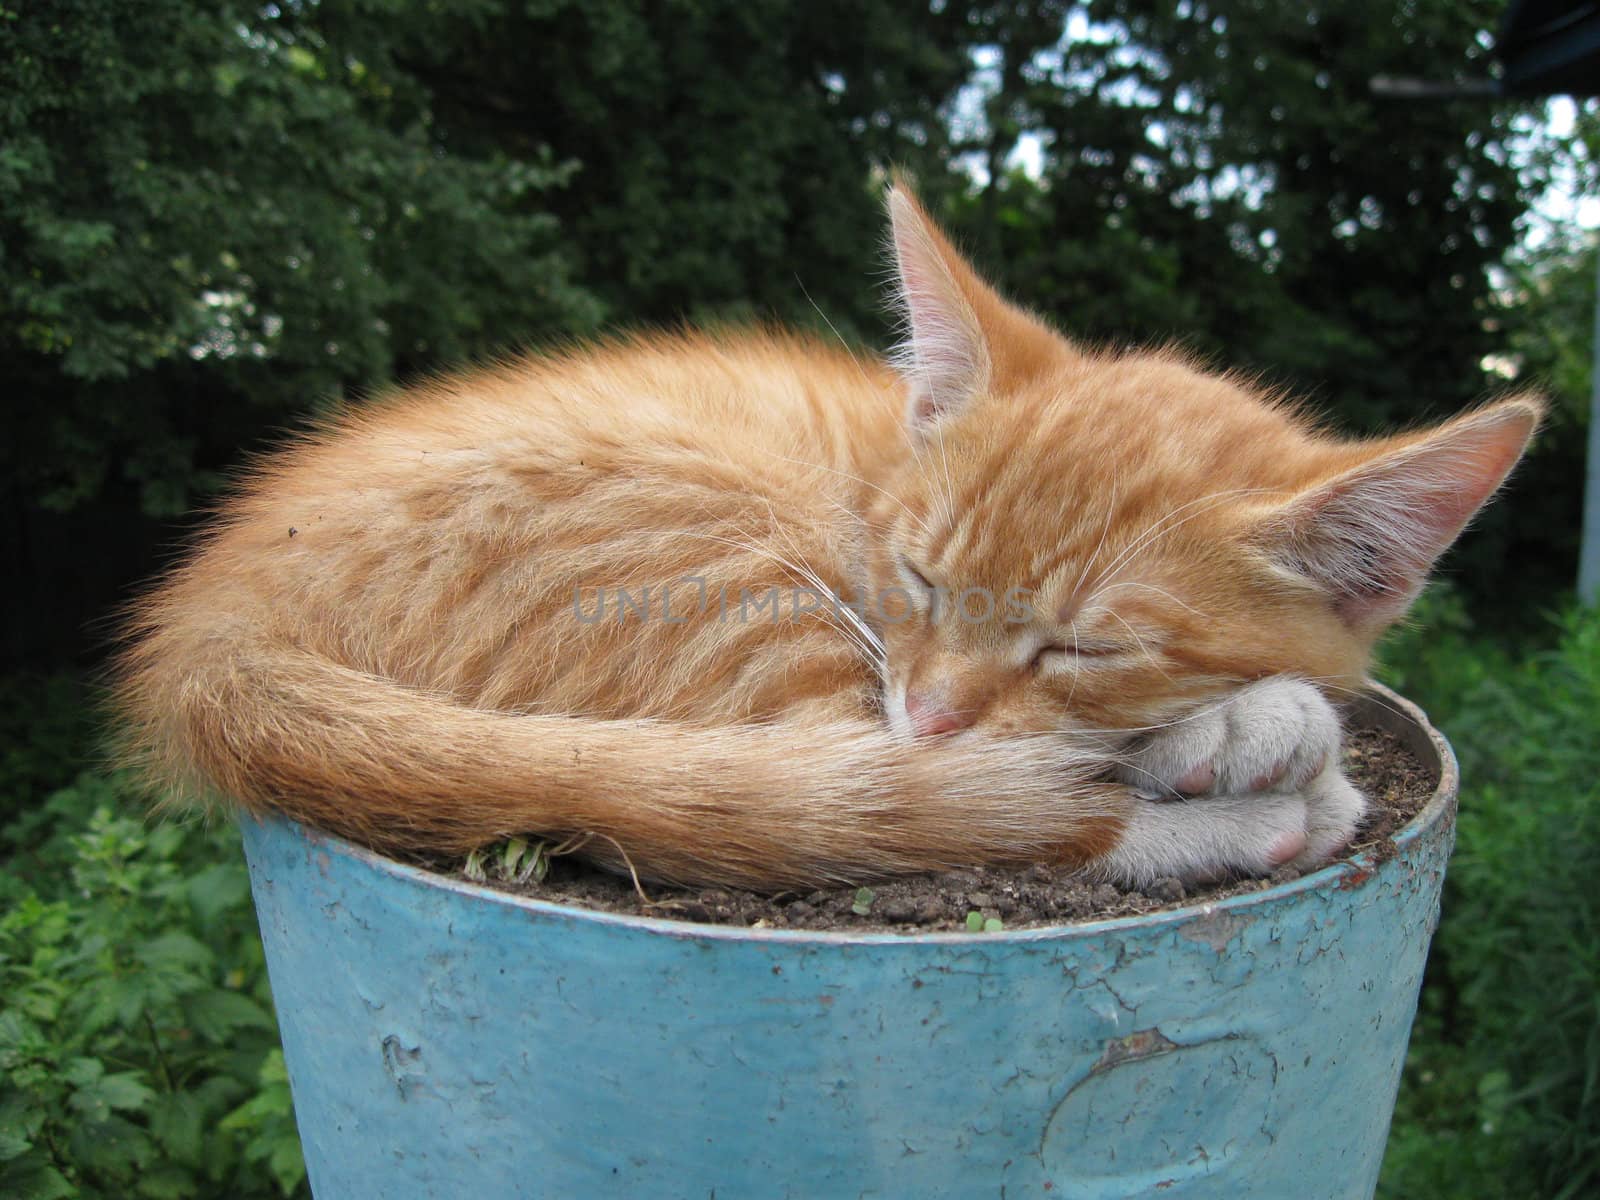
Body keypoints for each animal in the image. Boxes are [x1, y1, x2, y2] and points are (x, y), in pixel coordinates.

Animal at [112, 185, 1536, 896]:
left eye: (1083, 647)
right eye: (916, 576)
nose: (940, 713)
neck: (879, 454)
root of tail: (215, 618)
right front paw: (1260, 728)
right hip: (719, 575)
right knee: (849, 807)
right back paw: (1247, 814)